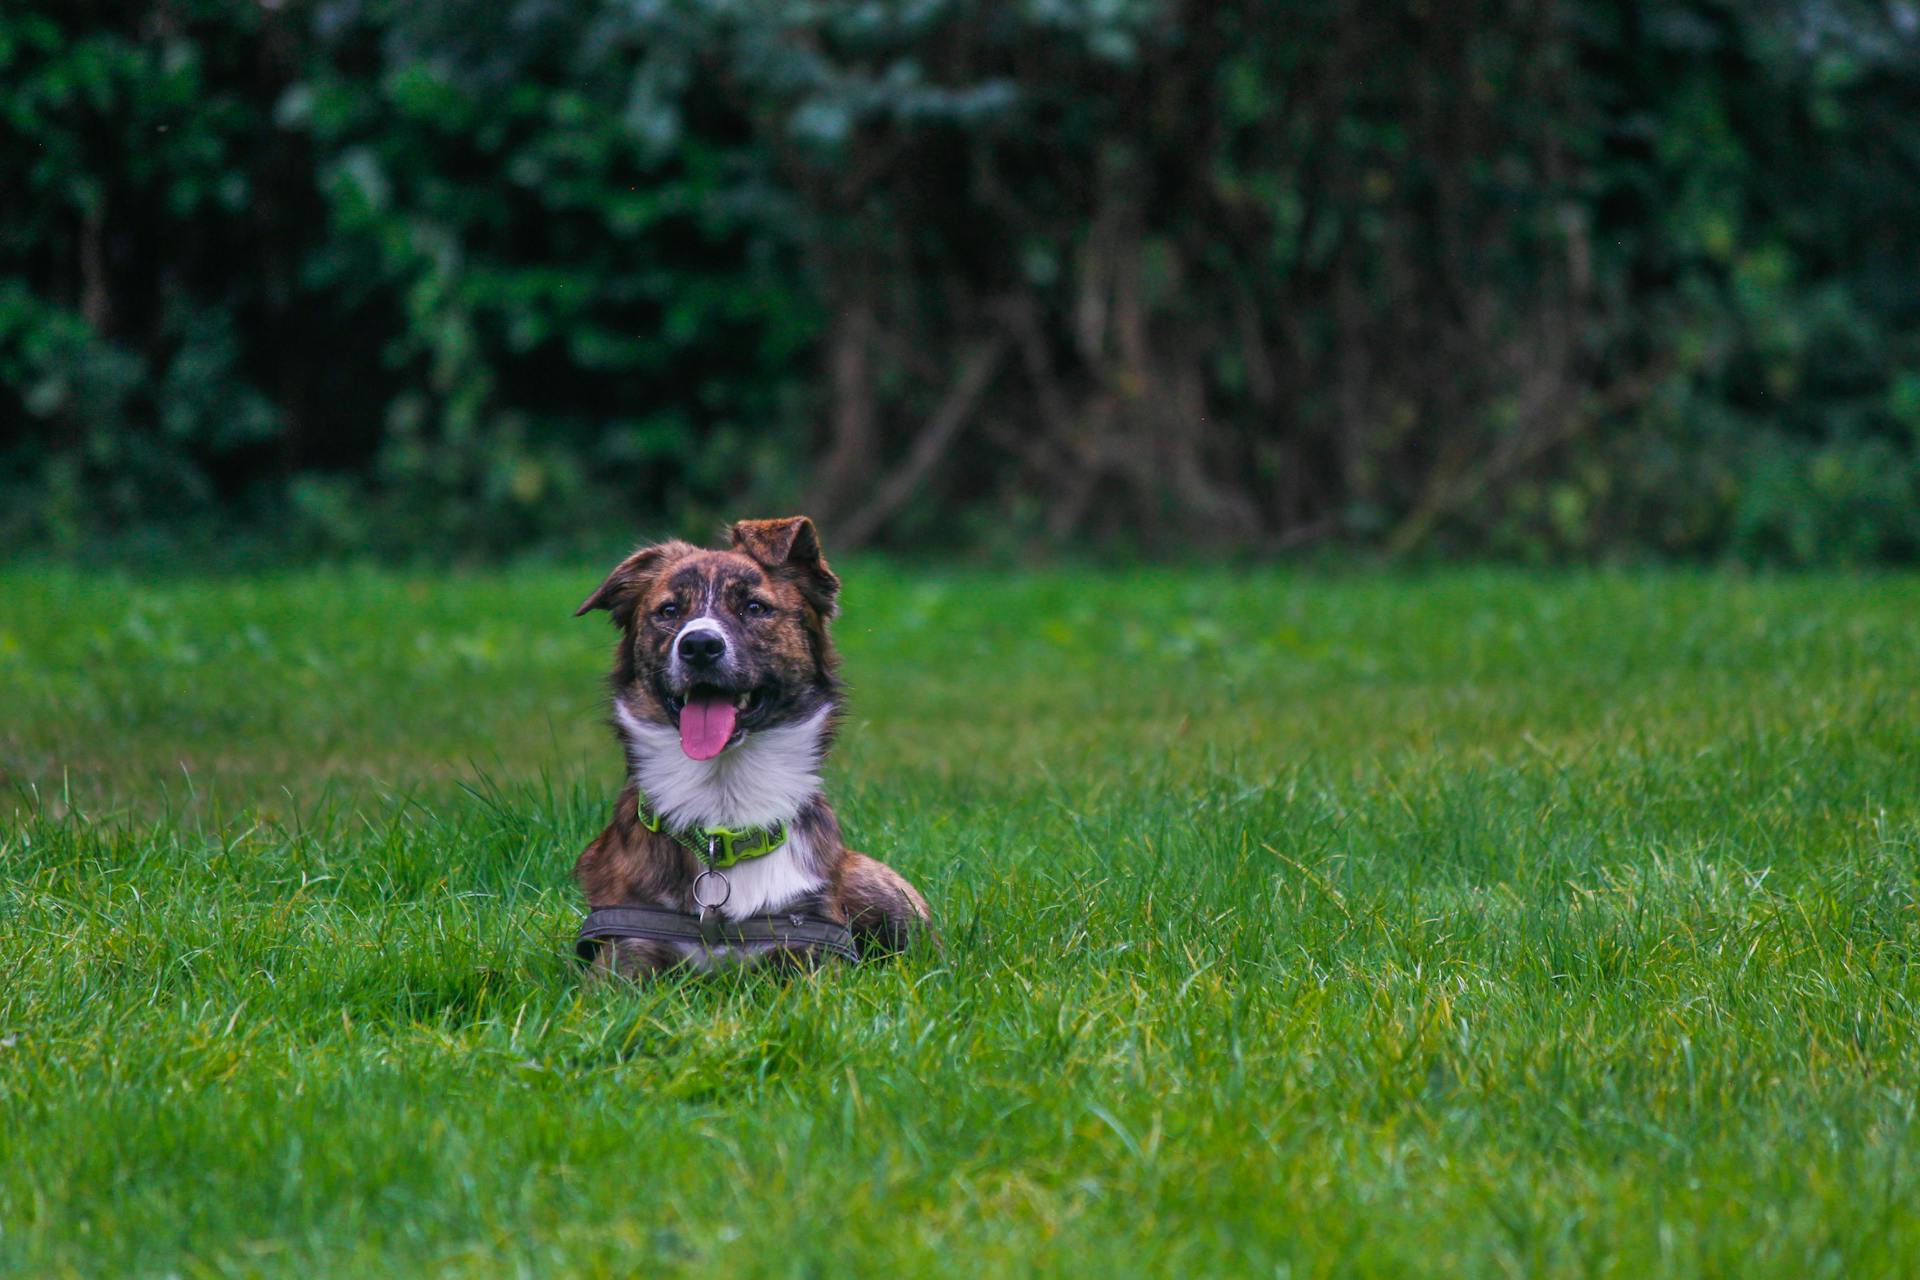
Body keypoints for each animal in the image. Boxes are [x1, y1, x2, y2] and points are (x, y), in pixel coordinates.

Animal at [568, 514, 929, 974]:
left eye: (755, 608)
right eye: (668, 611)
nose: (699, 645)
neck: (723, 807)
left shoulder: (812, 951)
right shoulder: (628, 949)